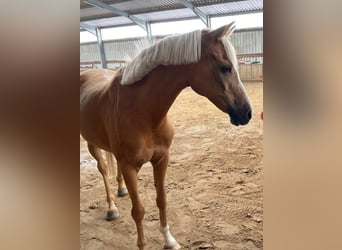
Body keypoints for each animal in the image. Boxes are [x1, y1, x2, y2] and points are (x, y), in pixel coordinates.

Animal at [80, 22, 251, 249]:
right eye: (226, 67)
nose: (247, 113)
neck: (142, 112)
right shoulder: (129, 167)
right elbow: (138, 211)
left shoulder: (161, 159)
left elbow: (162, 200)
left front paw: (169, 240)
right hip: (91, 144)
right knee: (103, 170)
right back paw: (112, 208)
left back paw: (121, 190)